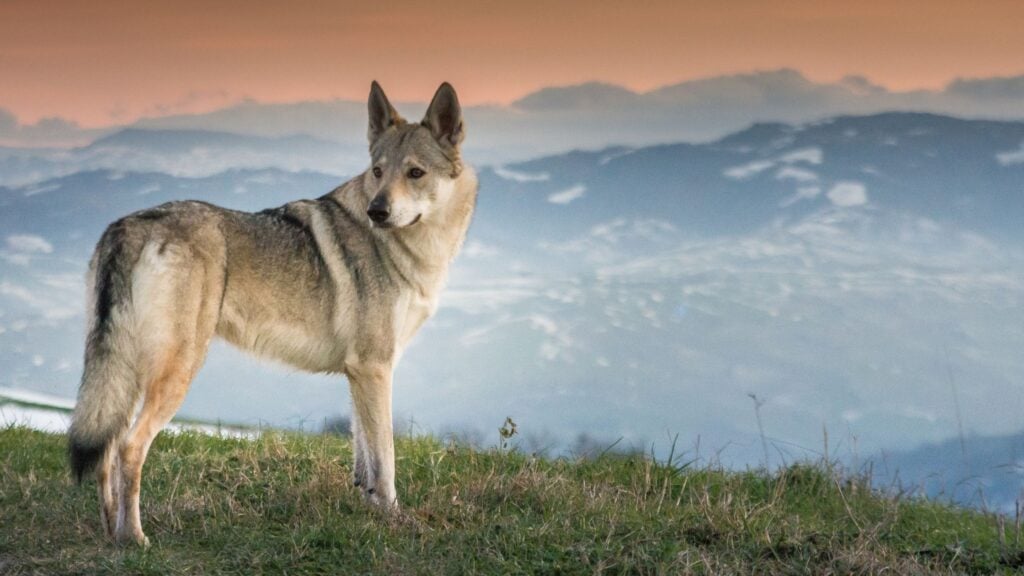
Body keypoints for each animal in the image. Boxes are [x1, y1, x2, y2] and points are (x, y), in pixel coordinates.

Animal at [68, 80, 475, 541]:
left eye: (415, 173)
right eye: (378, 172)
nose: (377, 211)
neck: (410, 250)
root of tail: (129, 226)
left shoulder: (359, 372)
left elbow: (363, 454)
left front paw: (365, 506)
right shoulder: (375, 368)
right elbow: (385, 459)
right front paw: (394, 519)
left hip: (128, 372)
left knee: (106, 448)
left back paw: (110, 531)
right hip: (176, 372)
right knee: (129, 447)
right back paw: (134, 538)